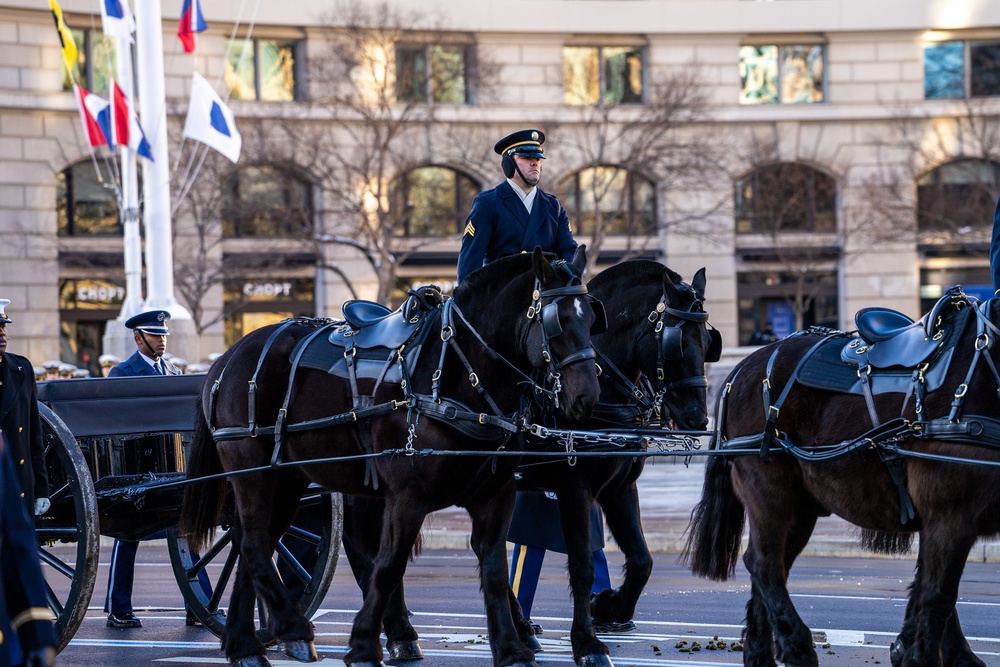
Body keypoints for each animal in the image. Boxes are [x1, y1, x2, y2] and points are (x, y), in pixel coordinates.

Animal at [180, 248, 600, 664]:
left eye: (592, 317)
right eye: (558, 321)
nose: (586, 396)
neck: (454, 373)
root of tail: (228, 356)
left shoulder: (496, 495)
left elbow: (495, 569)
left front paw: (512, 649)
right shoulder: (407, 497)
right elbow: (388, 566)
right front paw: (365, 644)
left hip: (287, 480)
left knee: (250, 544)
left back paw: (245, 643)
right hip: (253, 472)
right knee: (253, 545)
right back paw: (291, 627)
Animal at [344, 260, 720, 667]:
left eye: (707, 341)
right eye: (677, 341)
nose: (697, 418)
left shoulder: (619, 488)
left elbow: (641, 560)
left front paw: (610, 608)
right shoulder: (575, 489)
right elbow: (582, 564)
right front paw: (587, 642)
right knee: (367, 549)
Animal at [684, 298, 1000, 667]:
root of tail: (742, 368)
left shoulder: (940, 520)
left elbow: (927, 587)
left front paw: (913, 648)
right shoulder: (950, 514)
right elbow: (938, 595)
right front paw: (922, 656)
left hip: (800, 509)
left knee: (771, 565)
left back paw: (762, 653)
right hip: (770, 492)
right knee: (763, 564)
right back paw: (798, 647)